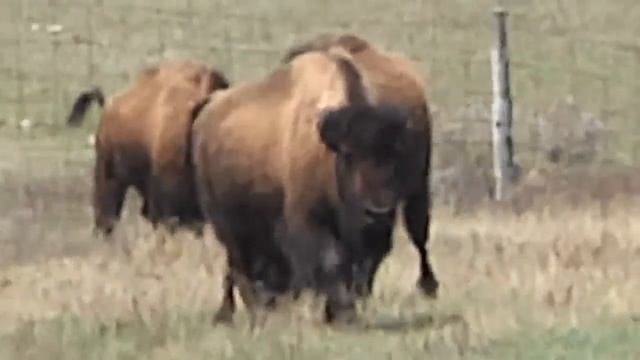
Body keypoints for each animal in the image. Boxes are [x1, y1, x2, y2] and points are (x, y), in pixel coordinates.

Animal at [191, 49, 430, 324]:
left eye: (396, 156)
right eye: (349, 155)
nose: (376, 210)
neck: (327, 152)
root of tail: (208, 111)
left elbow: (358, 266)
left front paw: (339, 313)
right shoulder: (308, 221)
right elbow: (330, 261)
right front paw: (341, 313)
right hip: (225, 223)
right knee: (239, 263)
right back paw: (254, 310)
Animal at [282, 33, 438, 298]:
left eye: (395, 154)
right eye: (347, 155)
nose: (375, 211)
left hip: (419, 187)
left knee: (418, 236)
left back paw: (428, 286)